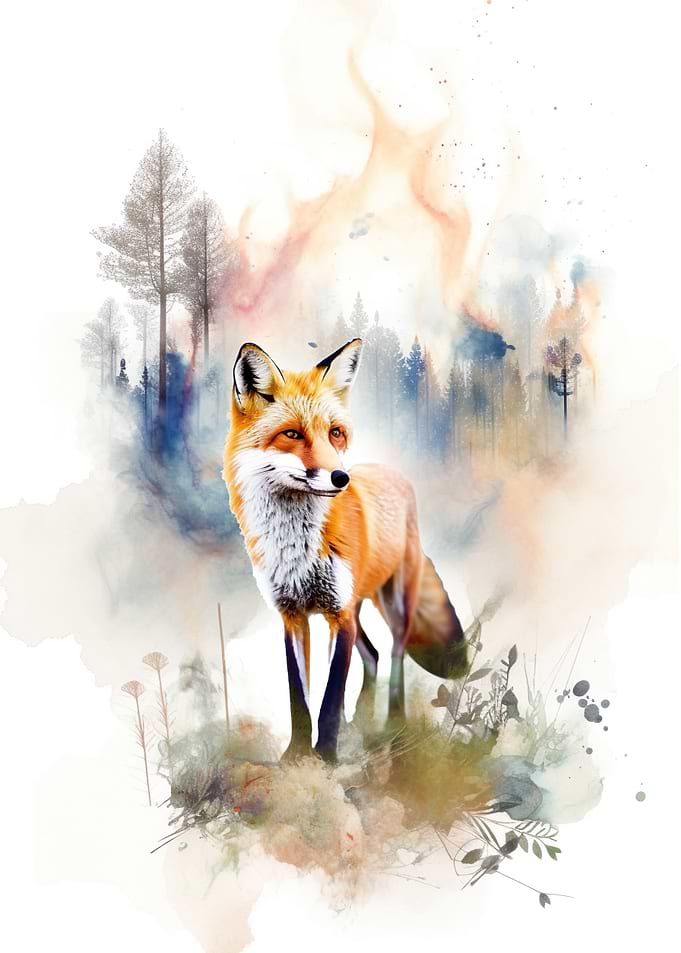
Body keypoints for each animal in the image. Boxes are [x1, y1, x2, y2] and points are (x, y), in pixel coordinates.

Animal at [223, 338, 467, 761]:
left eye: (335, 433)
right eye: (292, 434)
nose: (341, 478)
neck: (297, 550)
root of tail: (394, 473)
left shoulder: (338, 616)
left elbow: (330, 699)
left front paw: (326, 755)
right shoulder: (293, 616)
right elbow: (300, 699)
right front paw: (297, 755)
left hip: (392, 604)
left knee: (394, 655)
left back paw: (394, 722)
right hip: (354, 607)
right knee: (371, 654)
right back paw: (363, 718)